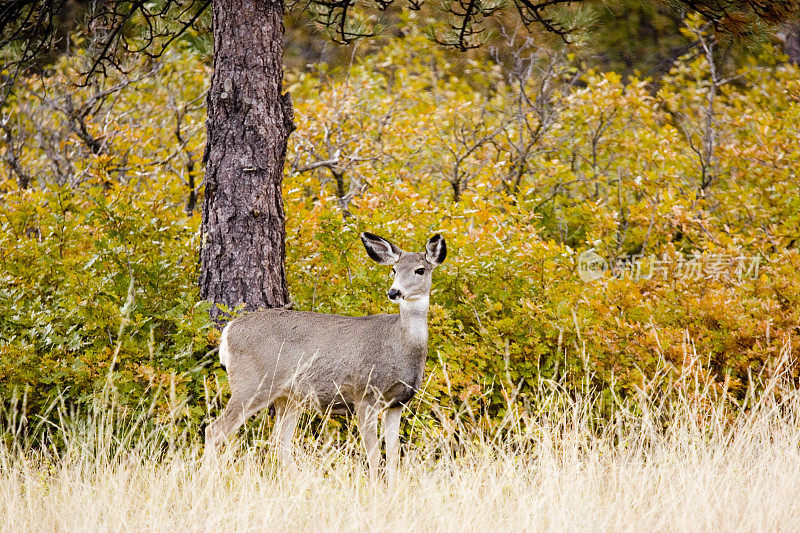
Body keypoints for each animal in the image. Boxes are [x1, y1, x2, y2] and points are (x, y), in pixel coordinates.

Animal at [203, 231, 446, 480]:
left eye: (420, 270)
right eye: (394, 270)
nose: (394, 292)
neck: (400, 345)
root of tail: (228, 331)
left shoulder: (398, 403)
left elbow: (394, 457)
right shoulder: (364, 395)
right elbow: (374, 456)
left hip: (287, 397)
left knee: (279, 443)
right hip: (252, 383)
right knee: (214, 430)